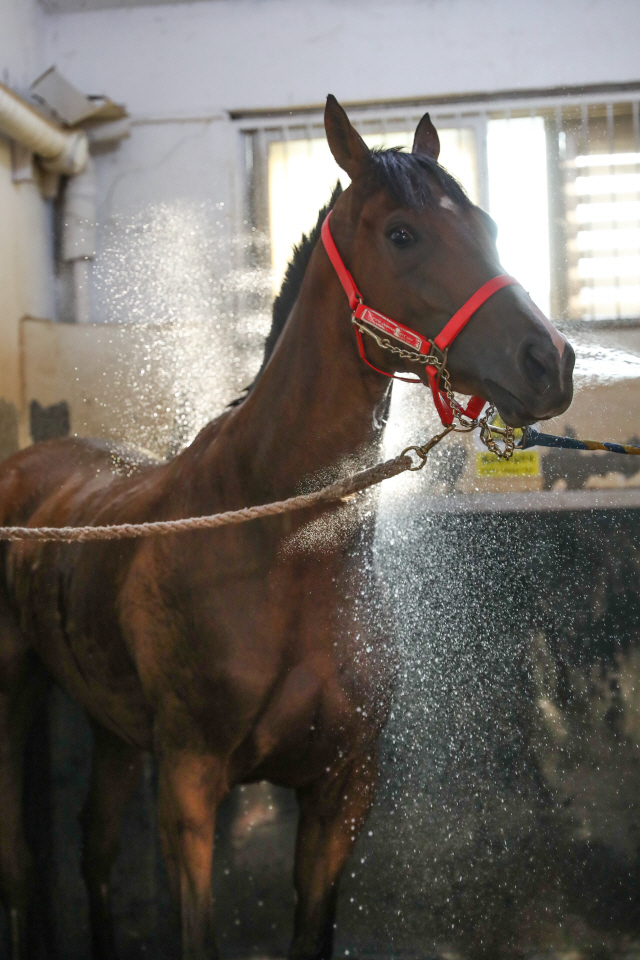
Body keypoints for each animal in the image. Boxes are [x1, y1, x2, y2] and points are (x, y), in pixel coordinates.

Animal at [0, 99, 576, 960]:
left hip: (112, 726)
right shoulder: (190, 789)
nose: (551, 361)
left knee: (93, 844)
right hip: (15, 695)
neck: (277, 546)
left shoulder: (342, 791)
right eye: (401, 233)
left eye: (487, 224)